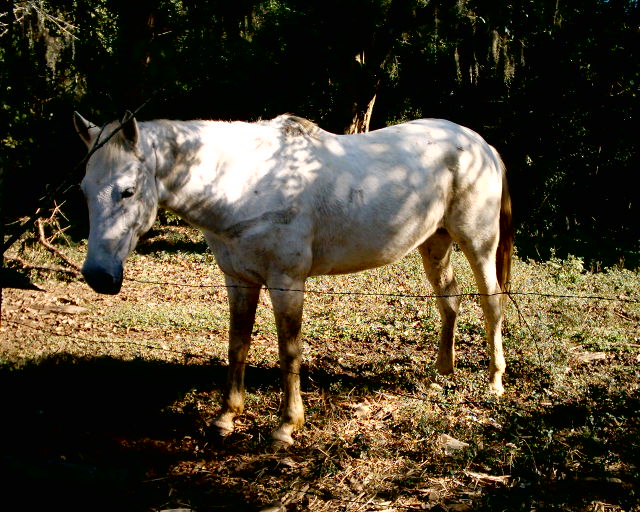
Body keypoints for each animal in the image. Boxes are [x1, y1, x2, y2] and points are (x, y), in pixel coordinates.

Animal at [75, 111, 512, 444]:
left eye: (128, 191)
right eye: (84, 189)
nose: (99, 276)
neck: (246, 183)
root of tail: (482, 145)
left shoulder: (286, 282)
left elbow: (289, 351)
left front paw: (286, 426)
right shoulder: (239, 280)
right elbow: (237, 345)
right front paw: (225, 418)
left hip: (477, 242)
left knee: (491, 303)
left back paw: (494, 382)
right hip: (434, 243)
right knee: (449, 300)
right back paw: (442, 372)